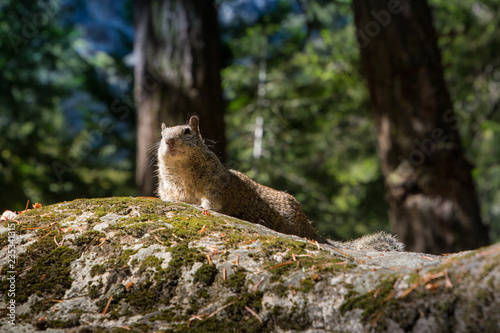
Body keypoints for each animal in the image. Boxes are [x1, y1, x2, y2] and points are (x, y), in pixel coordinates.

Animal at [158, 115, 404, 250]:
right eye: (162, 135)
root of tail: (312, 231)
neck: (183, 172)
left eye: (187, 131)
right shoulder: (170, 190)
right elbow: (172, 199)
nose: (169, 141)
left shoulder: (216, 184)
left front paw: (204, 208)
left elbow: (212, 202)